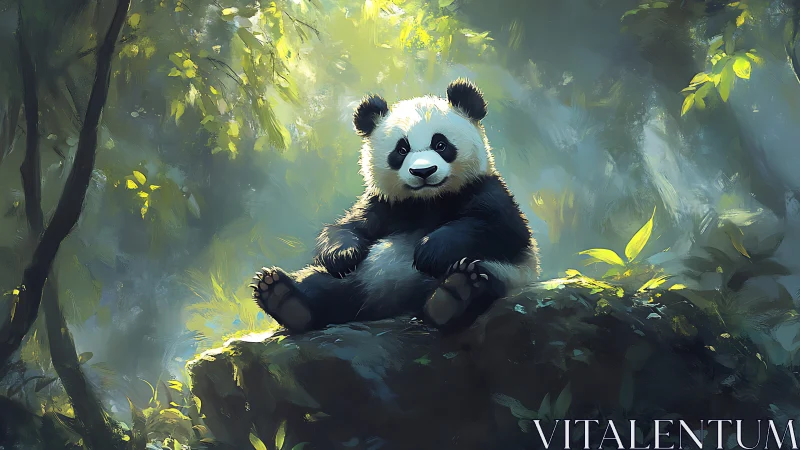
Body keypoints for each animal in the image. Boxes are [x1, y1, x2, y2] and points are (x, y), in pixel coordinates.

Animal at [251, 79, 540, 334]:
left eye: (441, 144)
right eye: (401, 150)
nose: (423, 172)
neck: (427, 200)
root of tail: (389, 306)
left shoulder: (485, 188)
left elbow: (503, 228)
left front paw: (429, 250)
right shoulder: (383, 204)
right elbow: (346, 227)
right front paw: (343, 254)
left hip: (509, 274)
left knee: (483, 276)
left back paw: (454, 295)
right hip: (360, 279)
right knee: (321, 286)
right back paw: (282, 296)